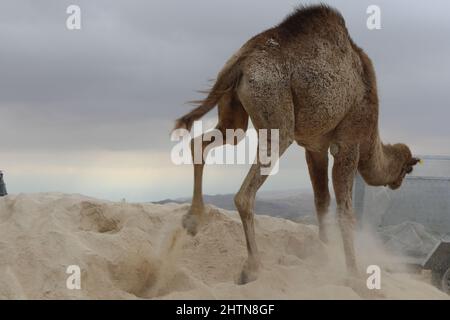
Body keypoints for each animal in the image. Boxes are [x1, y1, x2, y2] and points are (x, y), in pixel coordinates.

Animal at [173, 5, 422, 284]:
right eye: (407, 169)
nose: (397, 183)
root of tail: (242, 59)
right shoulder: (349, 141)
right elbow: (346, 212)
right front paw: (354, 277)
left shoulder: (315, 148)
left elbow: (321, 200)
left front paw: (324, 254)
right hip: (276, 112)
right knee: (245, 194)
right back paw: (252, 268)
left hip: (233, 110)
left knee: (204, 143)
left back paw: (193, 220)